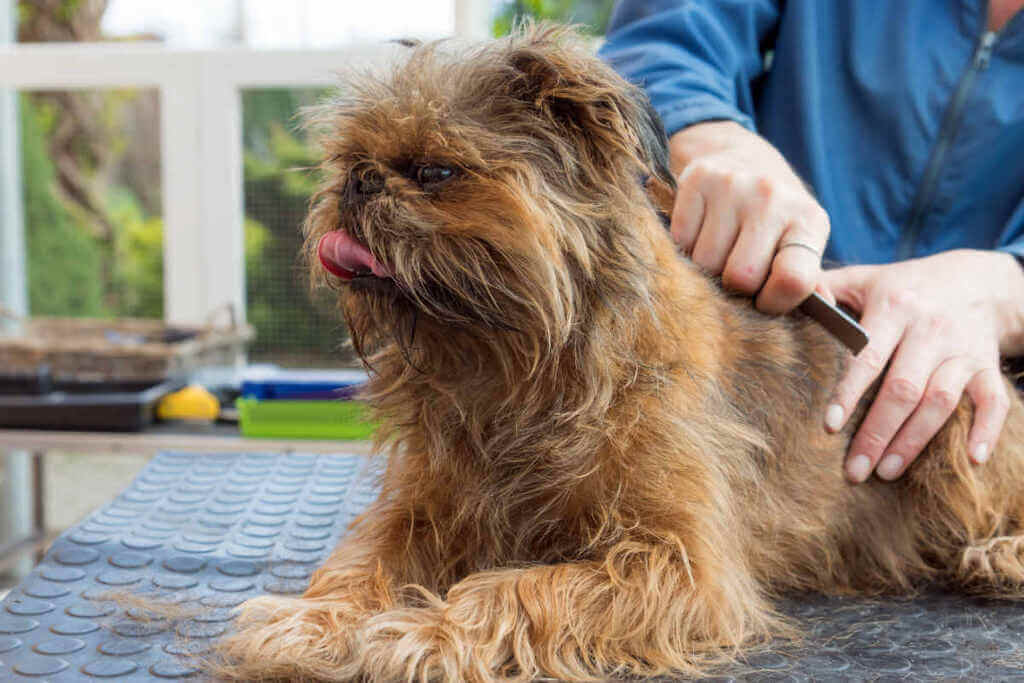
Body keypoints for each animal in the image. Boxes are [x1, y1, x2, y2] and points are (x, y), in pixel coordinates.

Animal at [214, 24, 1024, 679]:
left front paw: (427, 632)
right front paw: (313, 620)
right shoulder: (421, 509)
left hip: (956, 428)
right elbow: (362, 558)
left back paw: (1001, 553)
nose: (358, 181)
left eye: (435, 172)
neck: (516, 364)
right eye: (349, 160)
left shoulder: (681, 567)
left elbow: (523, 586)